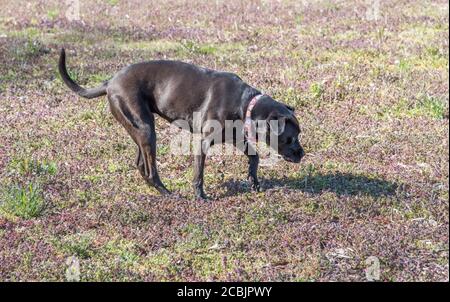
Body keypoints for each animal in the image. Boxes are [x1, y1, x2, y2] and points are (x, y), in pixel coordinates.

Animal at [58, 47, 304, 198]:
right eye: (290, 138)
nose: (302, 154)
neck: (245, 104)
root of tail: (109, 82)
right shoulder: (203, 143)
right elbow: (199, 174)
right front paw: (200, 197)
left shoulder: (236, 138)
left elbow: (254, 157)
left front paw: (255, 183)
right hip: (146, 129)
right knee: (150, 170)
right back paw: (169, 194)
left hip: (140, 130)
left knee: (141, 165)